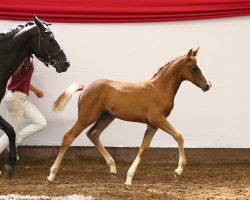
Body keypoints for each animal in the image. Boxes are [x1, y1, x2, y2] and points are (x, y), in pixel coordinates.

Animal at [47, 47, 211, 188]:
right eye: (194, 68)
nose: (208, 85)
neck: (159, 89)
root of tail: (86, 86)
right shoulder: (158, 119)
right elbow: (179, 136)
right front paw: (178, 171)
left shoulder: (152, 125)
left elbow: (143, 148)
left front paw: (129, 179)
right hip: (86, 117)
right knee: (68, 137)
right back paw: (51, 175)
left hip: (106, 117)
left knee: (93, 134)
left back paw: (112, 167)